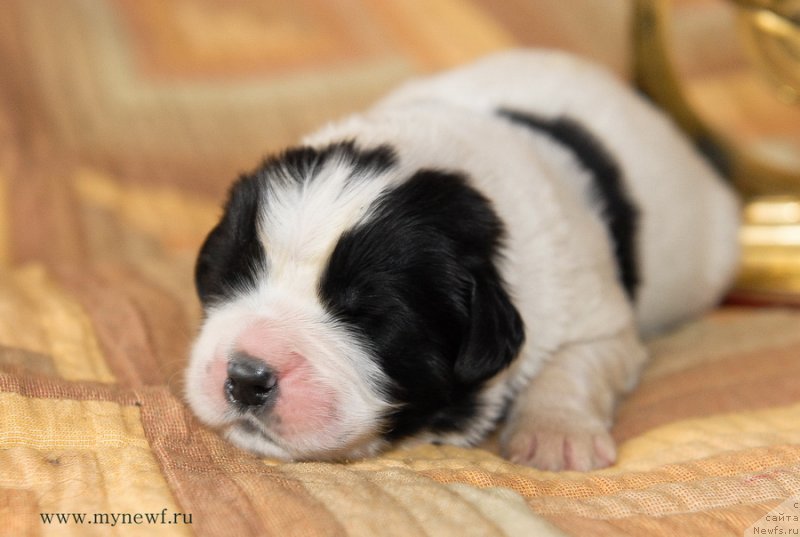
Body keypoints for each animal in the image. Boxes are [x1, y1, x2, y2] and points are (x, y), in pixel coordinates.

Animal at [186, 50, 736, 468]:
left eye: (366, 314)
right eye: (232, 277)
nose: (247, 378)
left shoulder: (596, 314)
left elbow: (574, 365)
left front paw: (556, 437)